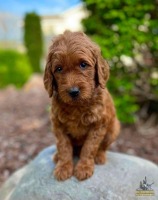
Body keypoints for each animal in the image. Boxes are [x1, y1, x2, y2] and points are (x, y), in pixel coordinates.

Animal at [43, 30, 119, 181]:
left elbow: (89, 147)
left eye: (83, 65)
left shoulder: (98, 124)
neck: (77, 106)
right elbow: (64, 146)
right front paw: (63, 167)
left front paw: (84, 167)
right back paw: (57, 156)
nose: (73, 92)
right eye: (59, 69)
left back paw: (100, 156)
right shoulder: (57, 124)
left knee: (102, 147)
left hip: (114, 128)